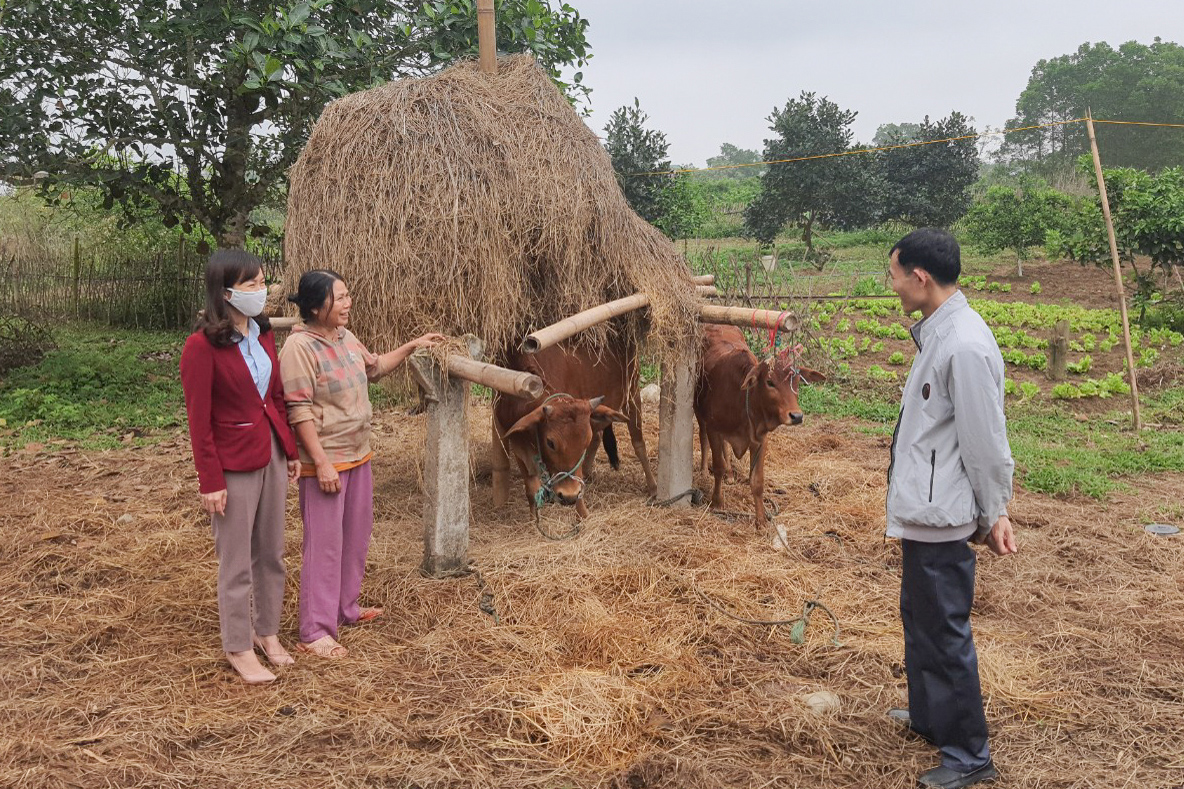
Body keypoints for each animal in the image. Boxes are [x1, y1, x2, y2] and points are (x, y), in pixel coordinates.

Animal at [490, 338, 658, 516]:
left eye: (583, 443)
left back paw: (653, 488)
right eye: (550, 443)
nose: (568, 495)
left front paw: (583, 516)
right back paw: (588, 474)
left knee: (638, 444)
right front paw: (534, 518)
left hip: (632, 393)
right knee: (598, 437)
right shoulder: (518, 443)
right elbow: (531, 491)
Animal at [691, 322, 824, 526]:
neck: (743, 399)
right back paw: (705, 471)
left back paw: (730, 474)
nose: (796, 416)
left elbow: (757, 481)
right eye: (770, 382)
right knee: (703, 438)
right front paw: (717, 502)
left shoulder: (760, 439)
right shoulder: (714, 429)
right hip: (699, 412)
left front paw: (761, 519)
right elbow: (718, 466)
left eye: (796, 381)